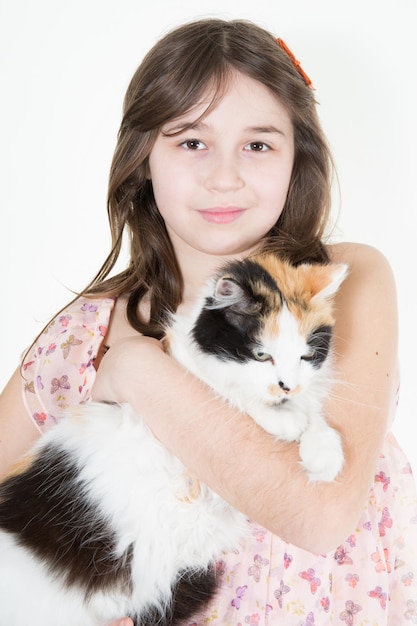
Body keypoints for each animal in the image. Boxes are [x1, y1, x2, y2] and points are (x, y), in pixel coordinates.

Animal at [0, 254, 344, 624]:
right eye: (261, 355)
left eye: (306, 356)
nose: (287, 387)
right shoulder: (180, 372)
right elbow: (228, 393)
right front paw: (284, 420)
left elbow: (312, 413)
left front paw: (324, 451)